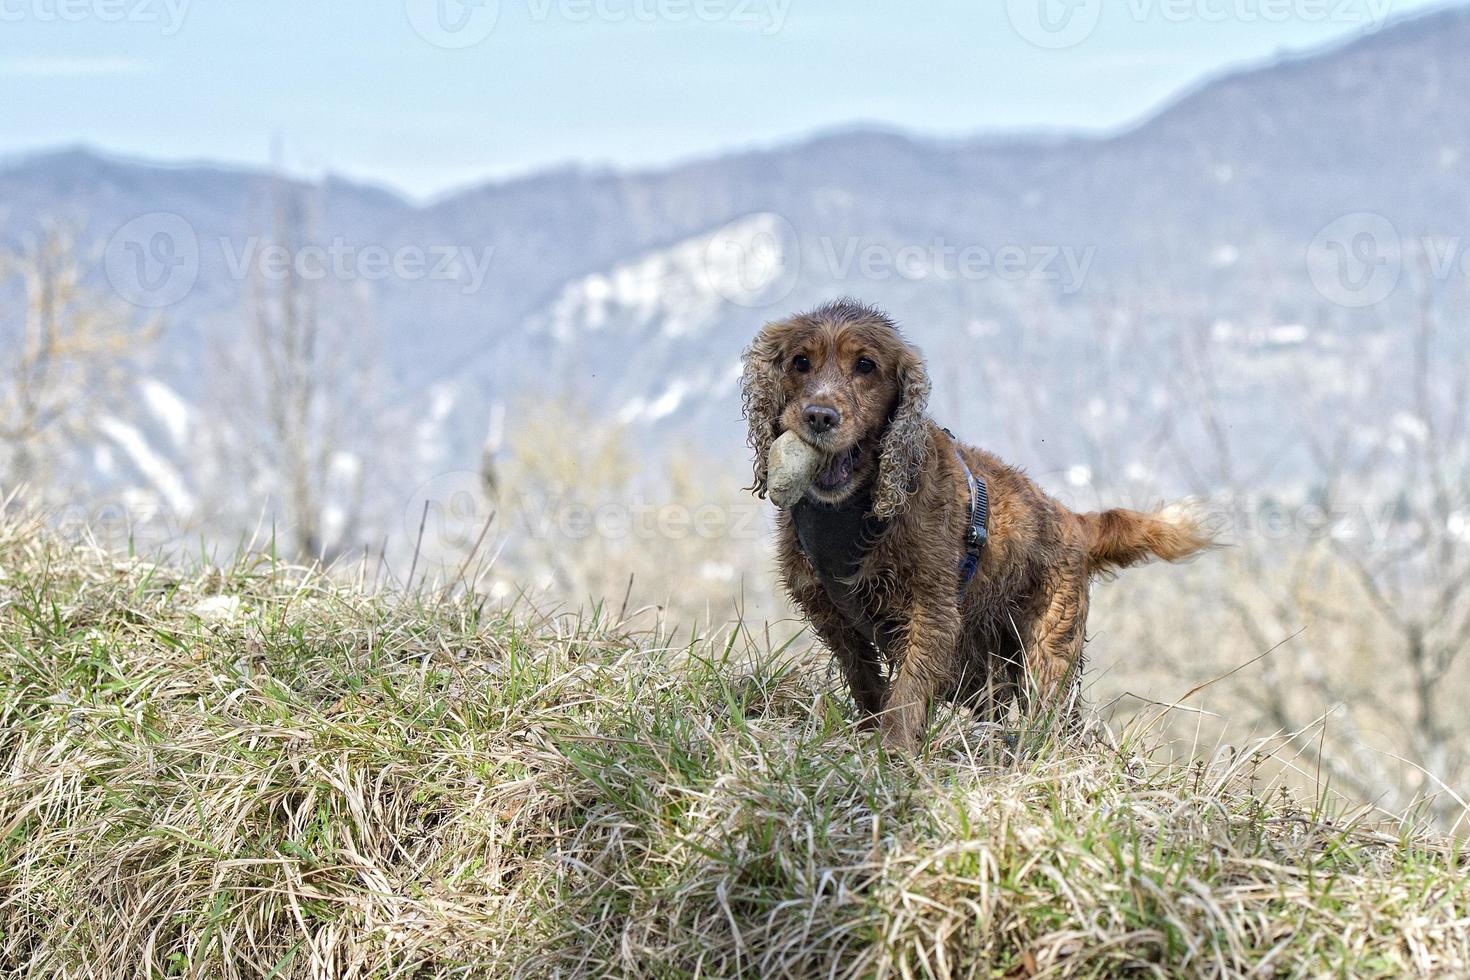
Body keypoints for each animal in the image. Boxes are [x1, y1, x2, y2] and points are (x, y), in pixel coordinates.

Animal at [740, 299, 1211, 752]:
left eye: (866, 365)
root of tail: (1072, 519)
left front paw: (893, 749)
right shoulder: (827, 609)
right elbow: (865, 677)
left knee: (1055, 714)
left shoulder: (932, 608)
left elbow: (908, 688)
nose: (819, 416)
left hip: (1047, 644)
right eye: (800, 361)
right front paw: (870, 730)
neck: (853, 511)